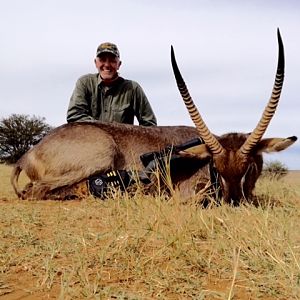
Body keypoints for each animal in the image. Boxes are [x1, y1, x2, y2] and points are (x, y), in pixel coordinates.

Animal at [11, 29, 296, 205]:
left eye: (249, 167)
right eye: (216, 167)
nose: (234, 202)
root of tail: (29, 154)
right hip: (101, 155)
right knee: (36, 190)